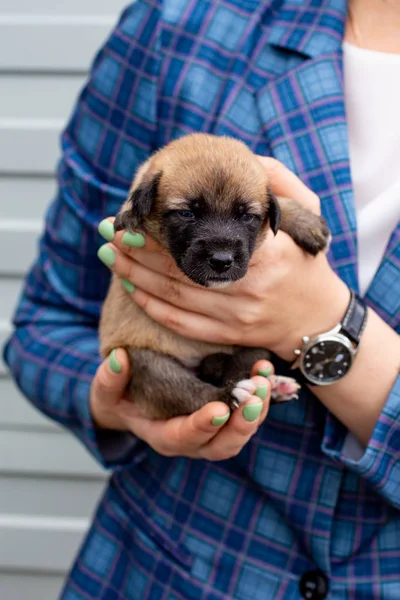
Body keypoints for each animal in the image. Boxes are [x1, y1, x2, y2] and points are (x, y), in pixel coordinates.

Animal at [97, 134, 328, 420]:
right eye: (187, 213)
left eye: (247, 216)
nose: (222, 260)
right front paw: (130, 217)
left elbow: (279, 202)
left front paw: (303, 220)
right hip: (146, 363)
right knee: (189, 393)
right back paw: (231, 394)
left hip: (255, 342)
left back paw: (271, 386)